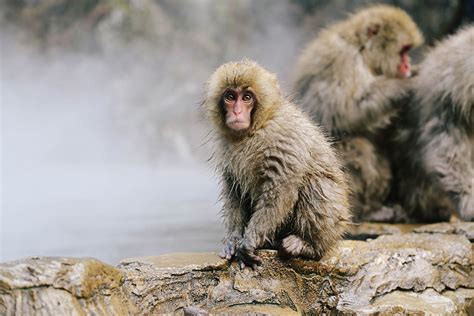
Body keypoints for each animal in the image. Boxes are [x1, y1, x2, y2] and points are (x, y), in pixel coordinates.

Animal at [202, 58, 350, 266]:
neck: (257, 127)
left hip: (335, 222)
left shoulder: (282, 137)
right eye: (230, 96)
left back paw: (308, 245)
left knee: (315, 183)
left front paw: (249, 241)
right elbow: (235, 191)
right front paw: (233, 239)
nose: (237, 112)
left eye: (247, 97)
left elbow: (280, 190)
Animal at [292, 5, 422, 222]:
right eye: (403, 51)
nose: (408, 64)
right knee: (357, 144)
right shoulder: (343, 60)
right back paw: (364, 211)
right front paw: (405, 85)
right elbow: (344, 111)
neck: (362, 51)